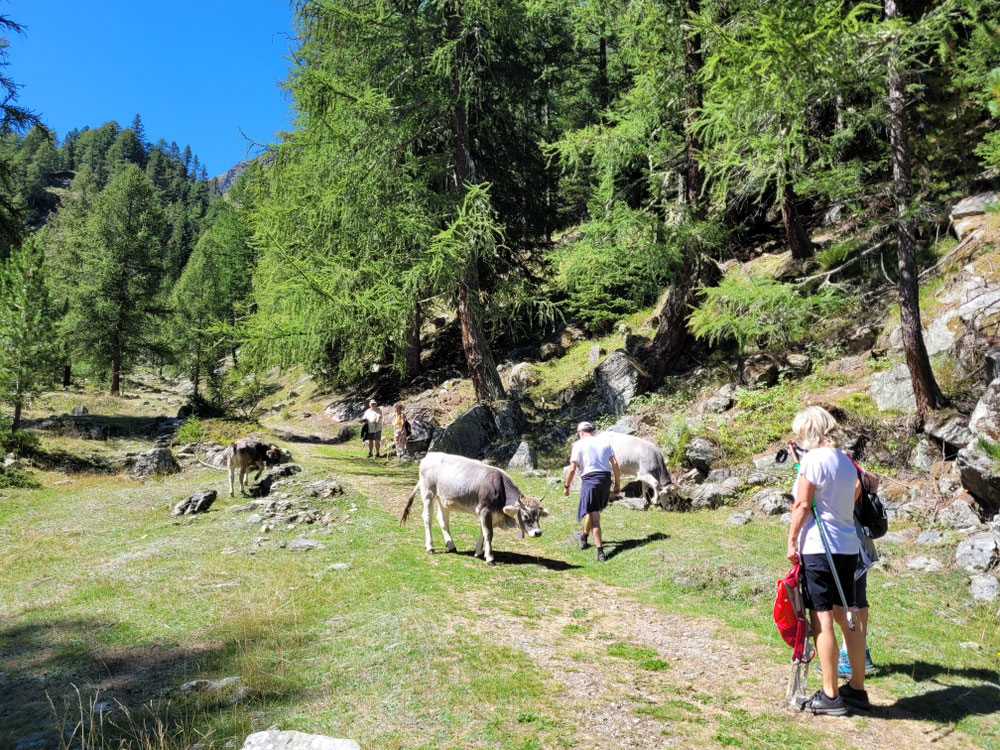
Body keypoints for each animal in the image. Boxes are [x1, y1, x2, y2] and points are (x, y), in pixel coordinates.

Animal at [402, 452, 552, 564]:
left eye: (539, 515)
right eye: (525, 516)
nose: (538, 533)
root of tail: (429, 456)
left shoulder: (488, 513)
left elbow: (483, 531)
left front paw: (478, 552)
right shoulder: (484, 510)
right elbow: (488, 533)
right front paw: (490, 558)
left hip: (443, 499)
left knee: (443, 520)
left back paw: (451, 546)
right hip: (428, 493)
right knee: (427, 518)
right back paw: (430, 547)